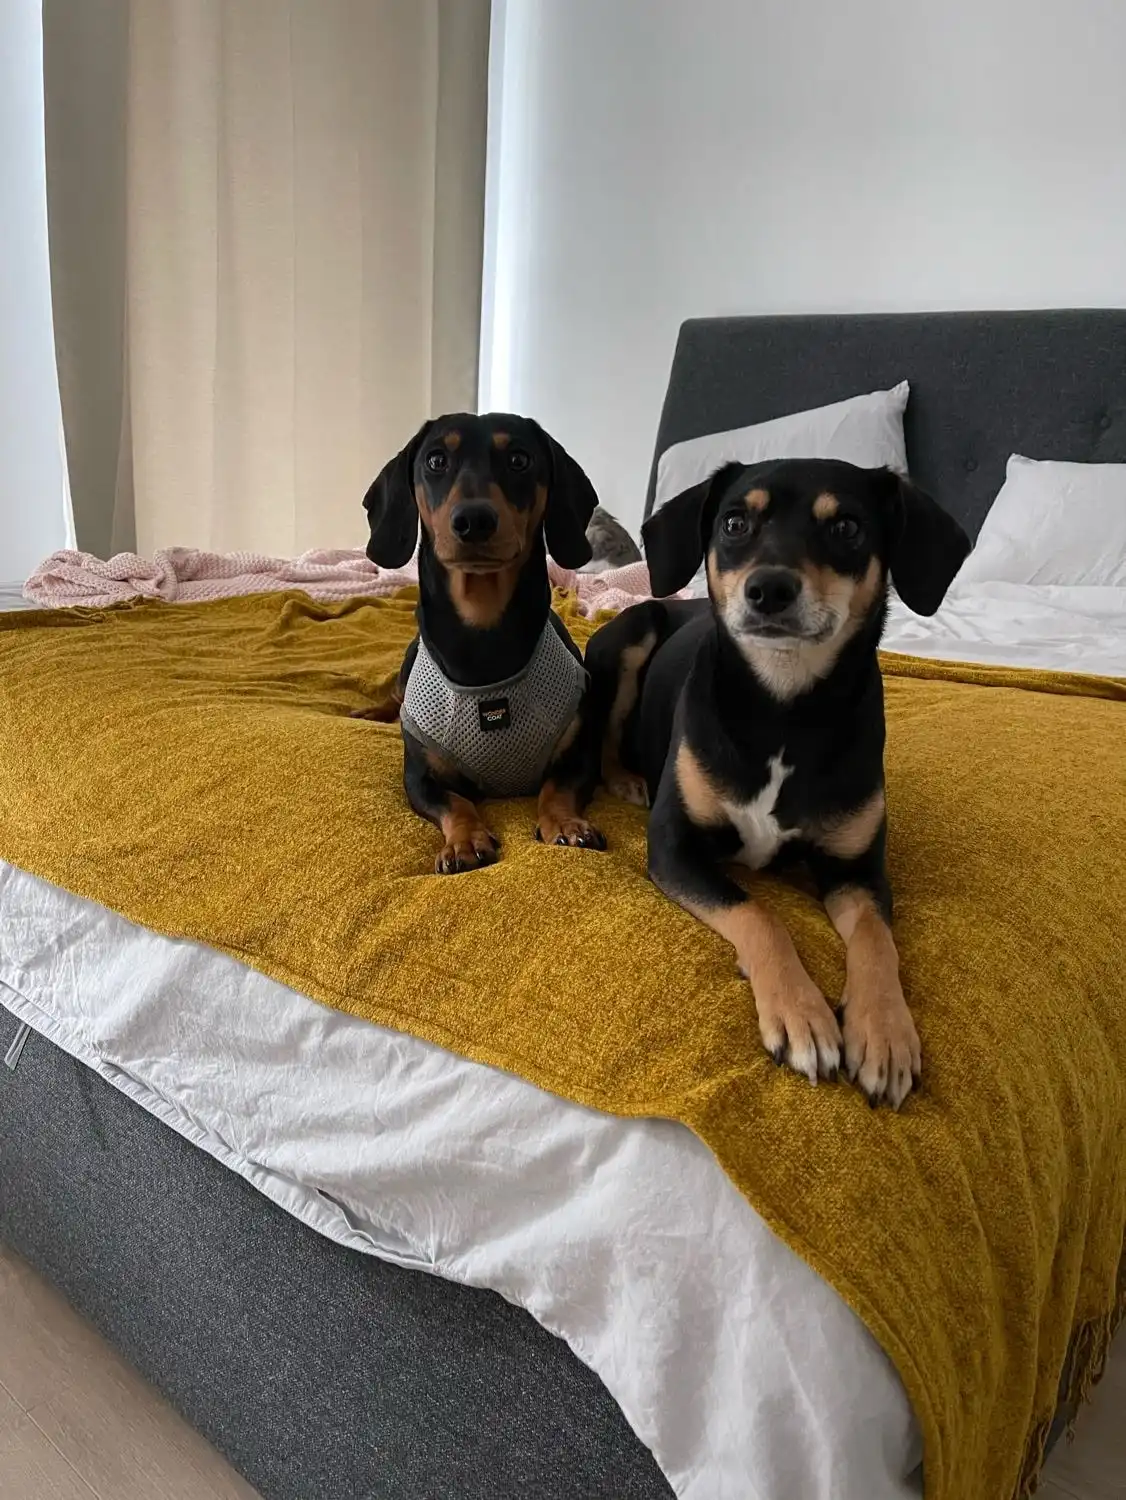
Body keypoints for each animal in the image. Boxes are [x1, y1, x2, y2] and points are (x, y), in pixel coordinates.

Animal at [362, 413, 607, 874]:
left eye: (519, 459)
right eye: (436, 460)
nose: (474, 520)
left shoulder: (581, 754)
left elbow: (557, 788)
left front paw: (566, 824)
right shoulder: (419, 777)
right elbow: (456, 803)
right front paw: (464, 841)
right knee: (394, 695)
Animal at [584, 458, 970, 1107]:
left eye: (847, 527)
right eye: (735, 522)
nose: (768, 589)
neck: (783, 709)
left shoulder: (857, 870)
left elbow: (877, 940)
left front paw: (885, 1032)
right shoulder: (675, 847)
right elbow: (759, 913)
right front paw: (800, 1013)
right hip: (631, 639)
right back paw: (628, 779)